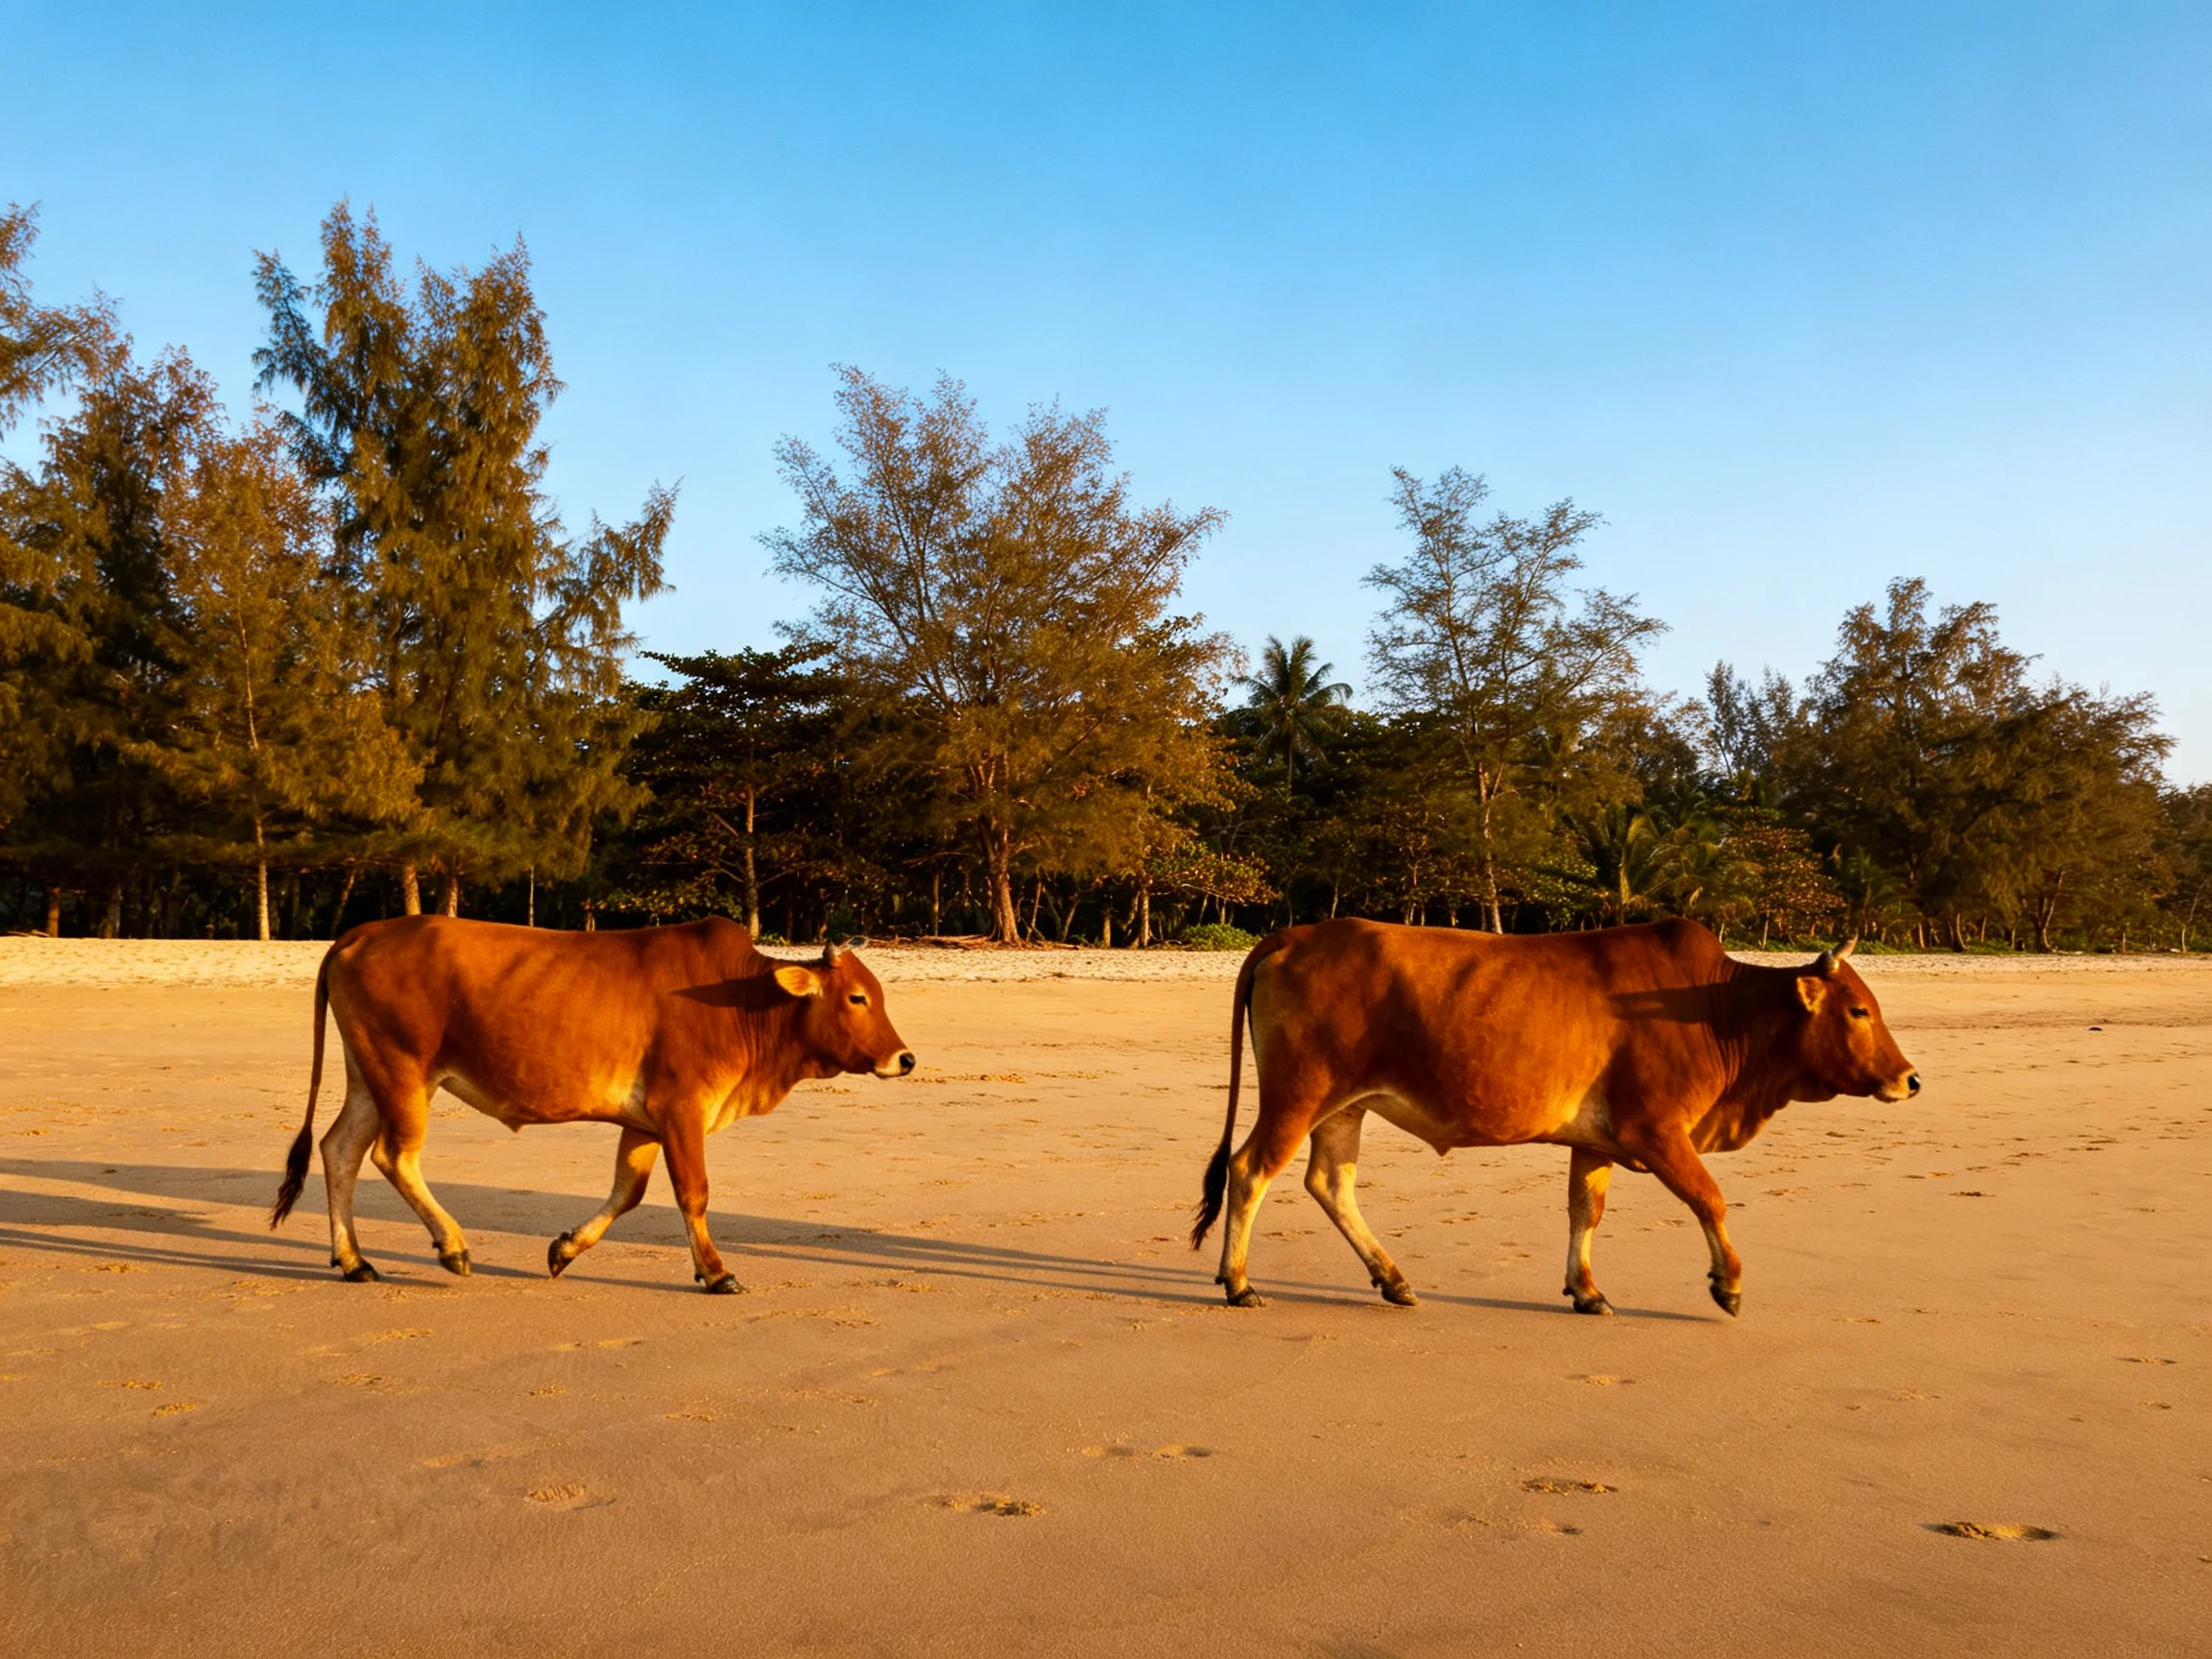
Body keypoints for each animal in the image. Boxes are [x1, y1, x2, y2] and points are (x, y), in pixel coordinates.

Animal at [268, 916, 915, 1292]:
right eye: (857, 998)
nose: (904, 1058)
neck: (745, 1002)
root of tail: (361, 933)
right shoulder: (682, 1108)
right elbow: (694, 1194)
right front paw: (715, 1271)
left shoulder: (646, 1120)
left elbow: (628, 1193)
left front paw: (565, 1249)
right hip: (403, 1070)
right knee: (393, 1156)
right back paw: (451, 1245)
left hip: (368, 1073)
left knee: (340, 1150)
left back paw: (354, 1260)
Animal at [1189, 918, 1918, 1317]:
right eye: (1858, 1010)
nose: (1910, 1079)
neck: (1719, 1010)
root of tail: (1300, 932)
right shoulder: (1656, 1131)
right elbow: (1710, 1199)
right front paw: (1728, 1283)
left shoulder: (1598, 1142)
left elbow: (1584, 1212)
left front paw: (1586, 1290)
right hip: (1299, 1093)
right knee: (1250, 1170)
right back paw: (1239, 1283)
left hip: (1344, 1107)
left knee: (1329, 1184)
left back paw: (1392, 1279)